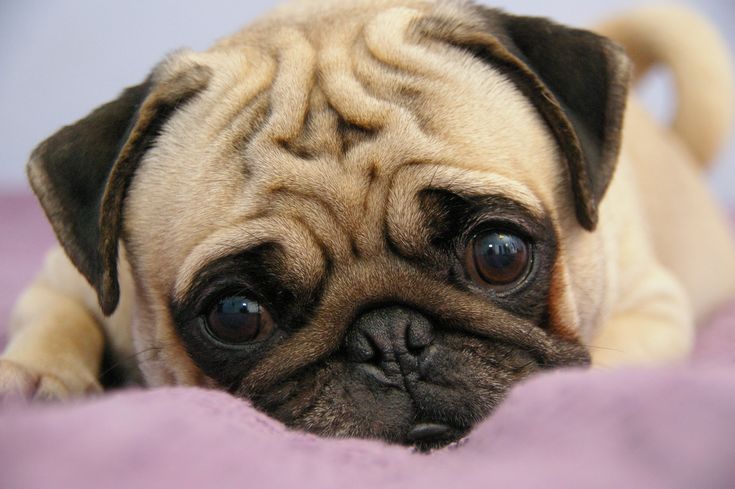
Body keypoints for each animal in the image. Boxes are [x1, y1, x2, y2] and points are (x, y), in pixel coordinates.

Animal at [1, 0, 735, 448]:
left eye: (499, 253)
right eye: (237, 314)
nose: (389, 337)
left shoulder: (650, 307)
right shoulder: (65, 280)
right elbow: (57, 317)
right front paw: (37, 378)